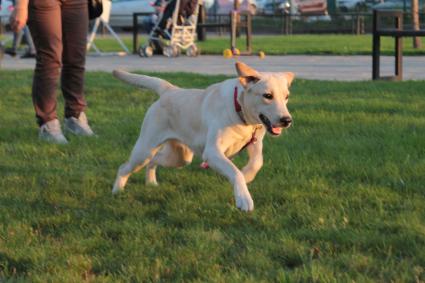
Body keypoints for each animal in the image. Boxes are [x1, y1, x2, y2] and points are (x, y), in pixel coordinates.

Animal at [111, 62, 294, 213]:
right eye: (267, 96)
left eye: (286, 97)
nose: (287, 120)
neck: (240, 111)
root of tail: (170, 90)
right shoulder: (212, 152)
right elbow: (235, 172)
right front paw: (244, 198)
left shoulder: (255, 143)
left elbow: (257, 162)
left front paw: (247, 175)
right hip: (144, 150)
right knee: (124, 167)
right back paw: (117, 191)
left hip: (179, 157)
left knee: (154, 161)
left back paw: (150, 182)